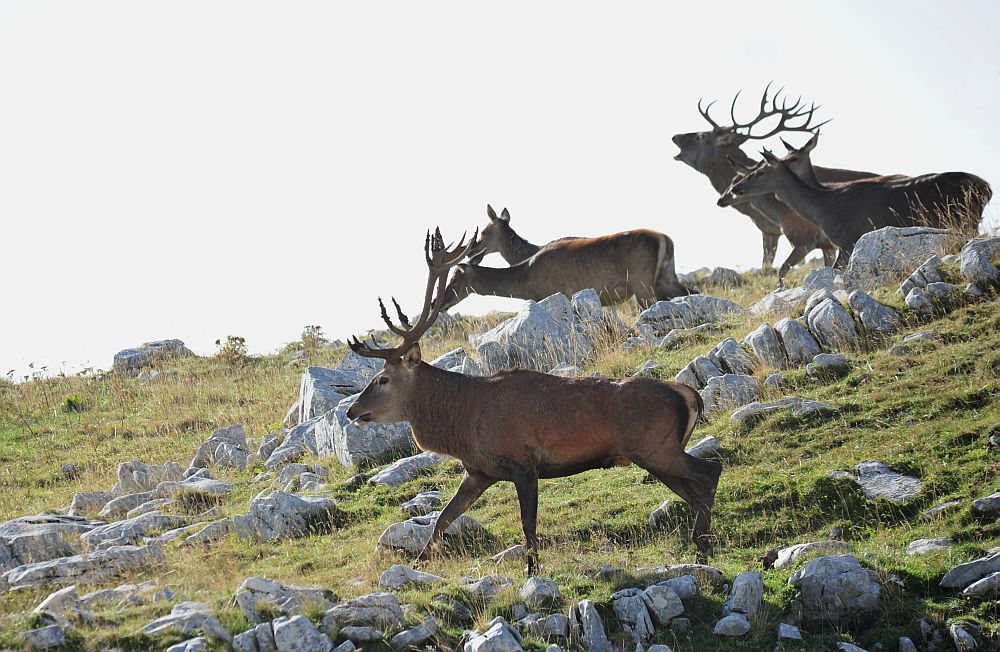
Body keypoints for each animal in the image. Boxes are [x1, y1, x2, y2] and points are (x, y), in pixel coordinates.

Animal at [344, 227, 720, 572]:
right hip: (655, 455)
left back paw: (702, 548)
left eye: (382, 379)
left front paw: (532, 571)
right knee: (695, 489)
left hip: (656, 447)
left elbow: (528, 526)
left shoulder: (523, 462)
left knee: (710, 471)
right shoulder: (479, 471)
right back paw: (702, 546)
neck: (463, 420)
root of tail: (689, 395)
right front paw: (421, 560)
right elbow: (443, 518)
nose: (351, 411)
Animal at [720, 140, 992, 262]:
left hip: (964, 219)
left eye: (760, 172)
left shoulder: (847, 240)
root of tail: (986, 187)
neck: (822, 208)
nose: (735, 188)